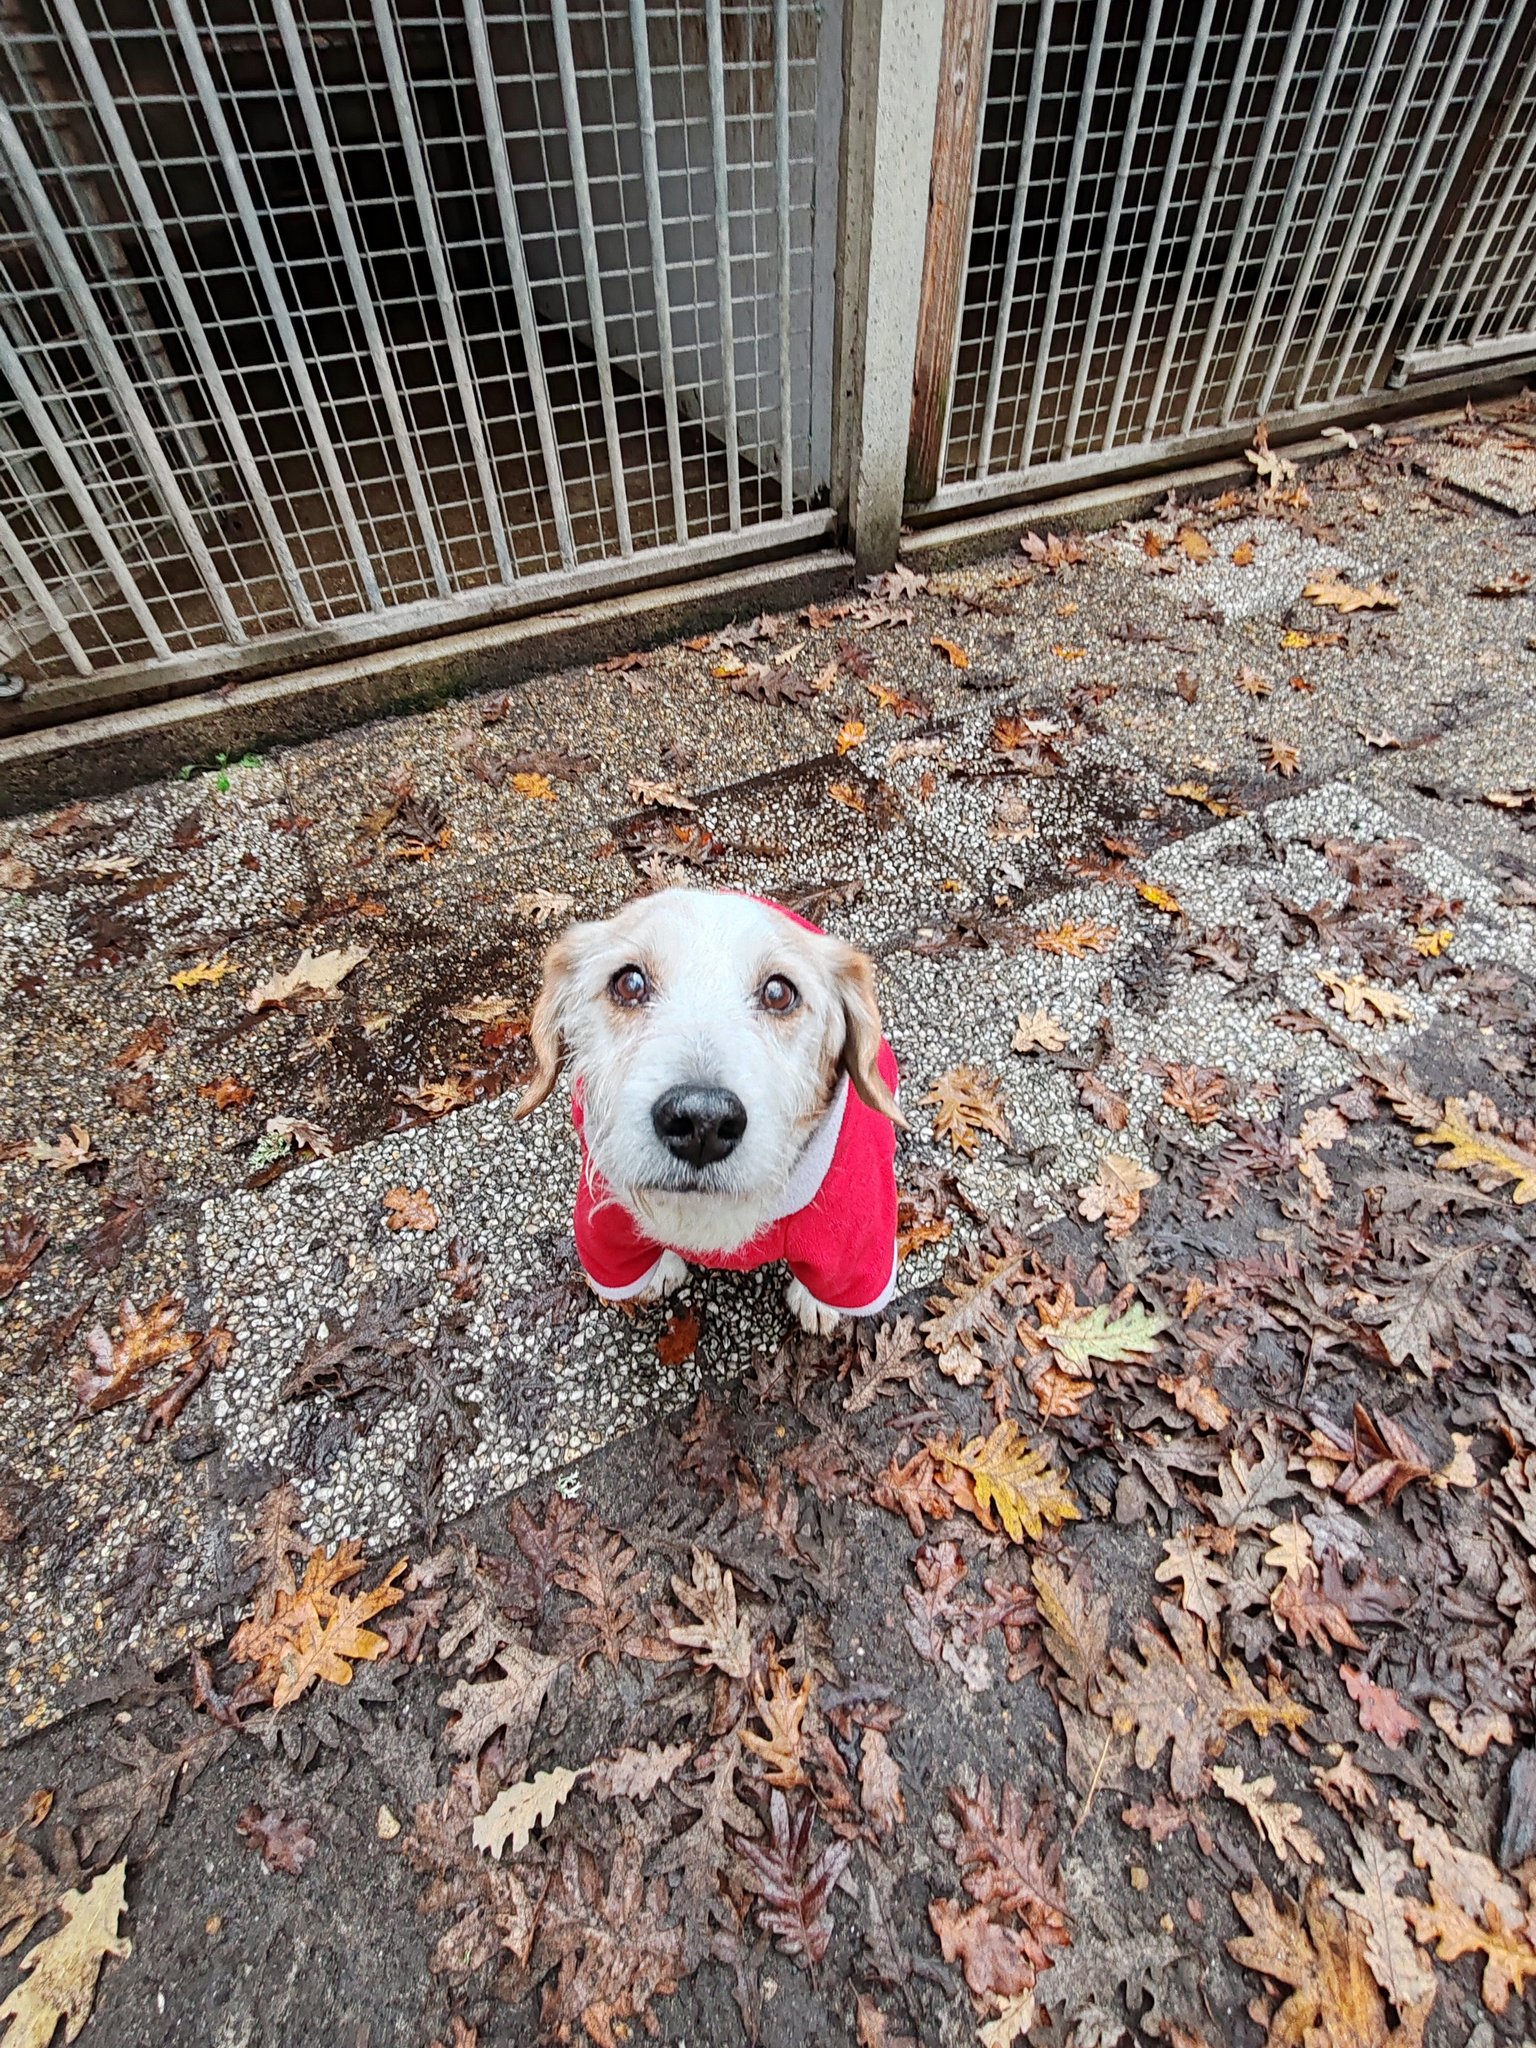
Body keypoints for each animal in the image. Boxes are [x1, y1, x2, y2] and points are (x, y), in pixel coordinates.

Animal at [515, 888, 903, 1334]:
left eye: (779, 993)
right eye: (629, 983)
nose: (703, 1121)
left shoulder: (854, 1239)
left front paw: (817, 1302)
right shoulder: (605, 1229)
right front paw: (661, 1266)